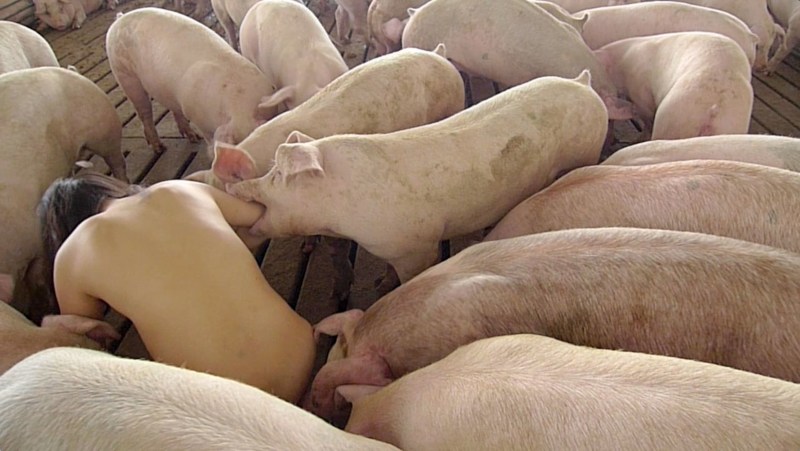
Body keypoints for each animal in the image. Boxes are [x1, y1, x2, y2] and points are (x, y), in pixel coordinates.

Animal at [106, 8, 279, 154]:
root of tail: (119, 19)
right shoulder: (197, 117)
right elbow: (208, 138)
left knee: (172, 107)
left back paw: (192, 138)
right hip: (124, 73)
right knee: (144, 112)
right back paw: (159, 148)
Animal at [224, 71, 607, 295]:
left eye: (277, 175)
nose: (234, 187)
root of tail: (583, 82)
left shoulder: (416, 246)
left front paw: (382, 289)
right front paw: (380, 282)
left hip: (587, 149)